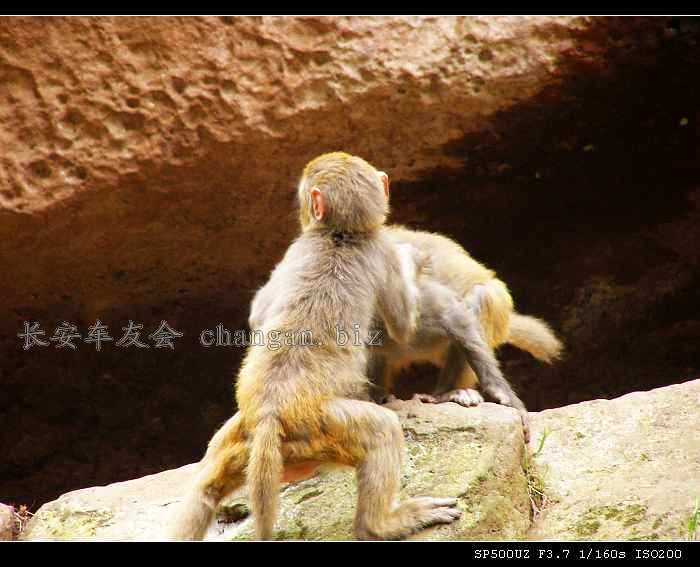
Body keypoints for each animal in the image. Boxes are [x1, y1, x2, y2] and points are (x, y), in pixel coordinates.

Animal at [165, 152, 461, 541]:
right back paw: (382, 523)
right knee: (381, 431)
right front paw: (411, 255)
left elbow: (259, 315)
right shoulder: (377, 249)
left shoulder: (296, 248)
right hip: (328, 426)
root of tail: (270, 416)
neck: (339, 235)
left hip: (247, 436)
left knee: (205, 486)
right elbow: (402, 327)